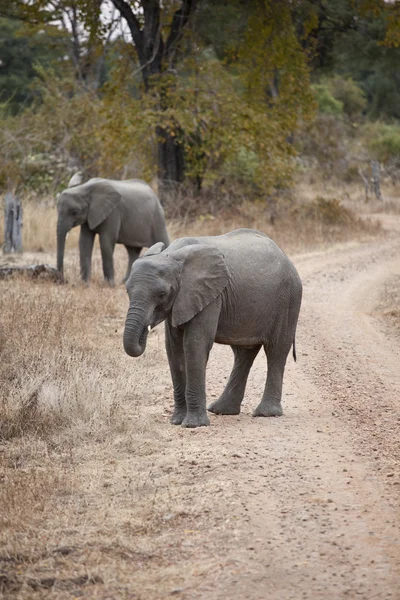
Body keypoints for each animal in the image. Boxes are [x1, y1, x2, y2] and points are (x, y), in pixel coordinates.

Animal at [123, 227, 302, 428]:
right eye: (127, 291)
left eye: (162, 294)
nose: (146, 330)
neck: (172, 255)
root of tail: (286, 256)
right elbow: (174, 349)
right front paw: (177, 421)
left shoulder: (210, 295)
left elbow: (195, 344)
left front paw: (193, 425)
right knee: (244, 353)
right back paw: (222, 410)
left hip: (288, 299)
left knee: (276, 350)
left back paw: (265, 413)